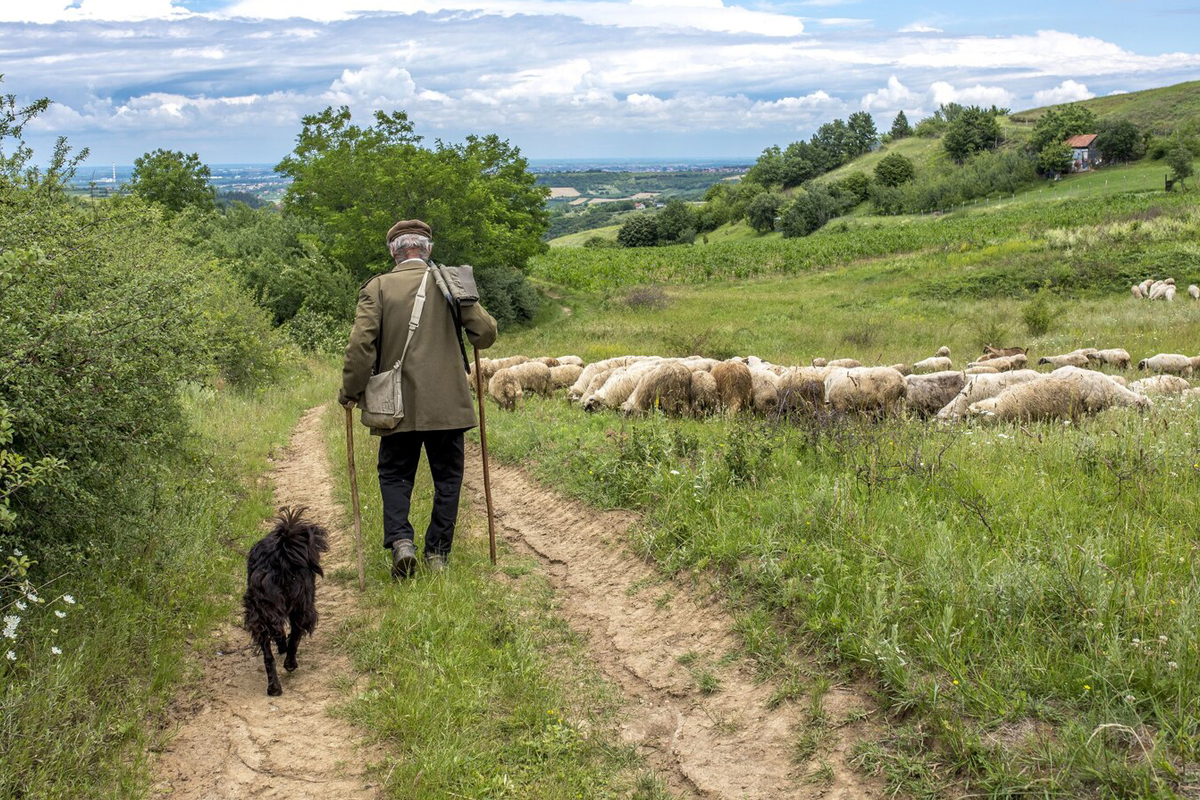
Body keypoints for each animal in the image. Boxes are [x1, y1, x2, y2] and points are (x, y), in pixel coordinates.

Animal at [242, 510, 328, 695]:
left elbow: (280, 633)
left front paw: (282, 647)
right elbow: (293, 636)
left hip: (260, 613)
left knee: (268, 655)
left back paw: (274, 687)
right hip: (302, 606)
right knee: (295, 634)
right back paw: (290, 663)